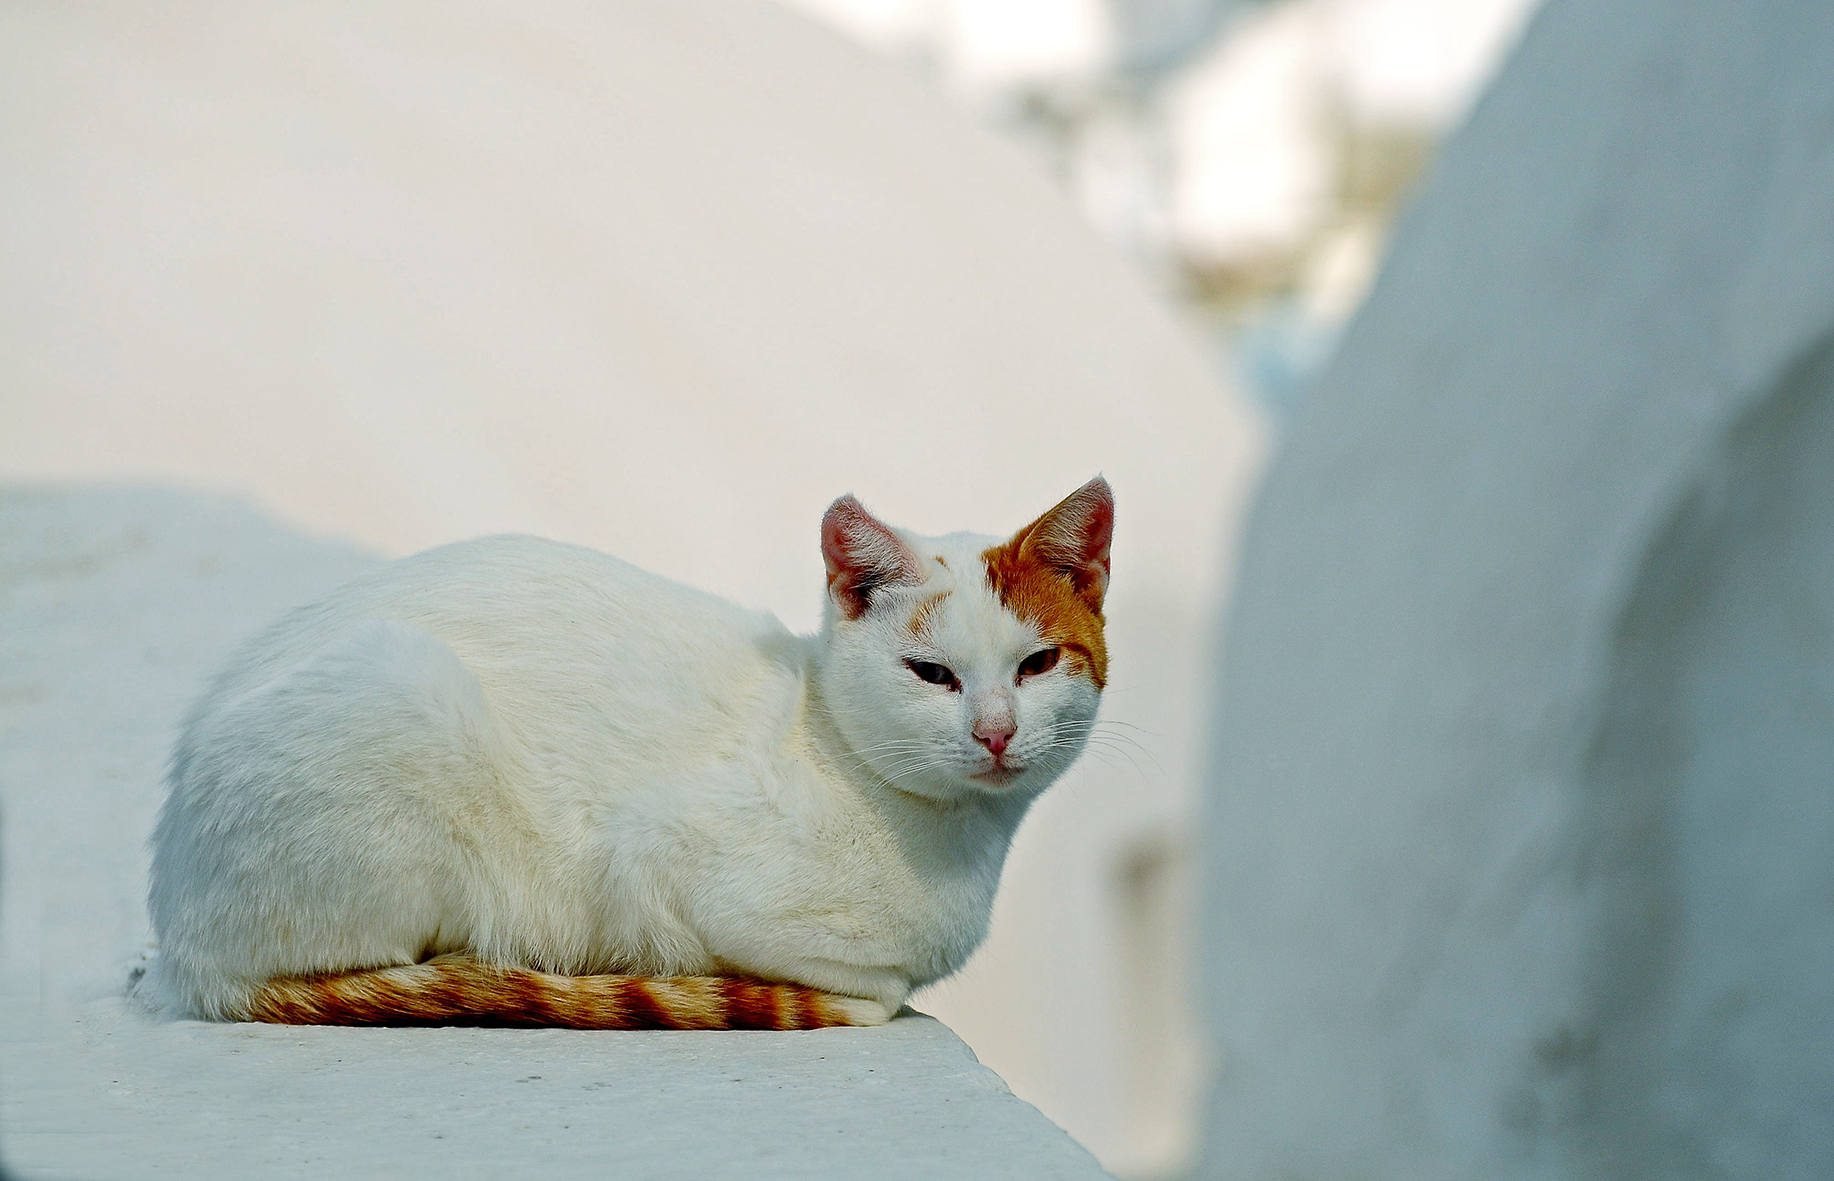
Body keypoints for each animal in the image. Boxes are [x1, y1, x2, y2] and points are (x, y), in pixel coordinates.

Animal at [143, 476, 1107, 1026]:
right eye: (931, 673)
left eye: (1038, 663)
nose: (995, 729)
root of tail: (185, 949)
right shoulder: (659, 860)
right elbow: (873, 984)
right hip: (404, 689)